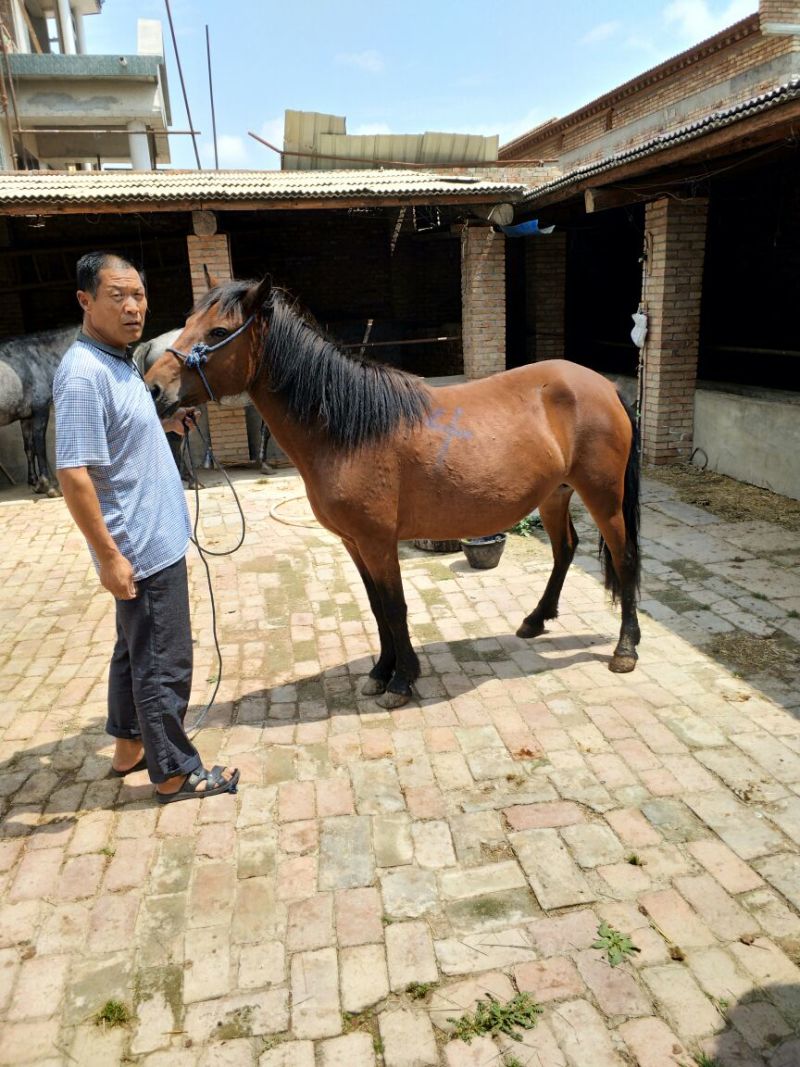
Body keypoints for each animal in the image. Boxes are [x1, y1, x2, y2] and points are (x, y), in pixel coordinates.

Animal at [145, 277, 641, 709]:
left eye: (218, 331)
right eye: (188, 321)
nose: (153, 386)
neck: (348, 428)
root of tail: (603, 385)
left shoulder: (378, 540)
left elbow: (394, 606)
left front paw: (402, 681)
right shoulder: (354, 542)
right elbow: (376, 606)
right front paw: (381, 672)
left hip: (603, 497)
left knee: (624, 558)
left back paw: (625, 649)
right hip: (555, 494)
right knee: (565, 550)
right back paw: (535, 621)